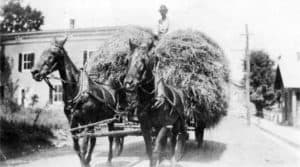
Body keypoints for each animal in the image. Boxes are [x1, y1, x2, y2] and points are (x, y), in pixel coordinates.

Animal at [31, 36, 125, 167]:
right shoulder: (73, 122)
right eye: (43, 51)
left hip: (112, 119)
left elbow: (84, 145)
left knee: (111, 137)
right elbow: (77, 147)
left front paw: (86, 162)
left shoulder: (88, 122)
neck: (77, 90)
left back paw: (109, 159)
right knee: (96, 139)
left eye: (53, 53)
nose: (34, 72)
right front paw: (85, 161)